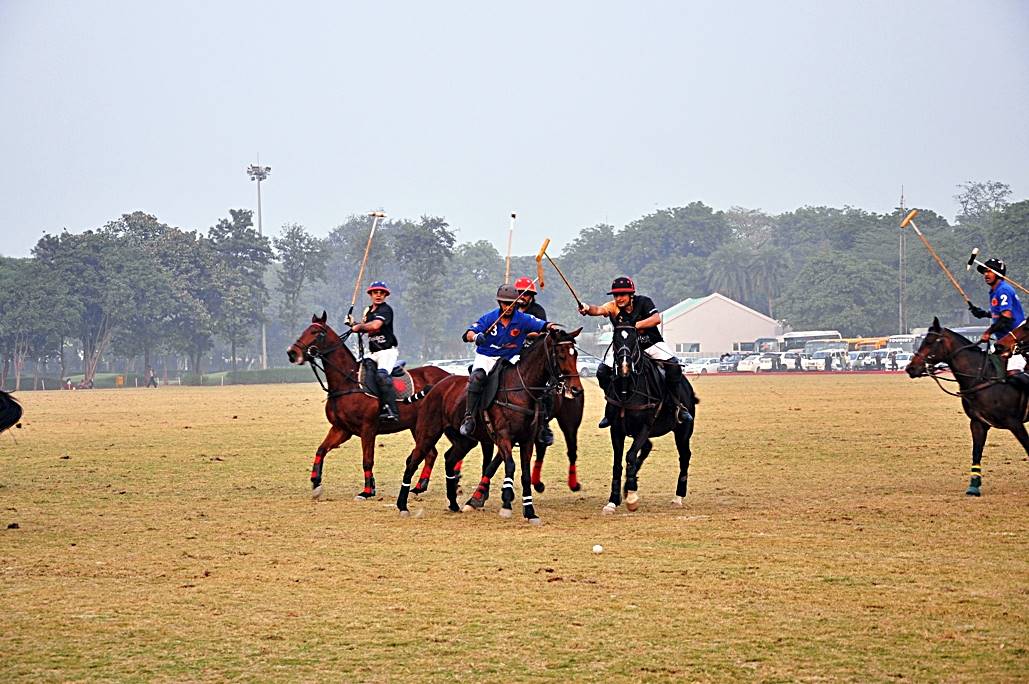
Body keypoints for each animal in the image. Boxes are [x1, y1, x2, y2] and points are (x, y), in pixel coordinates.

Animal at [290, 312, 450, 499]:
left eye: (317, 332)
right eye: (305, 330)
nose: (292, 352)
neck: (347, 382)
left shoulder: (368, 428)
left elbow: (367, 460)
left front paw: (367, 491)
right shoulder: (341, 429)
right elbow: (321, 450)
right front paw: (316, 483)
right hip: (417, 425)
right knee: (430, 453)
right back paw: (419, 487)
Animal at [393, 329, 584, 520]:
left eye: (575, 354)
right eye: (561, 355)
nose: (576, 389)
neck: (520, 390)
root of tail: (435, 386)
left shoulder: (526, 440)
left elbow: (524, 474)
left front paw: (529, 511)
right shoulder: (503, 437)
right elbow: (509, 465)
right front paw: (505, 503)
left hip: (465, 441)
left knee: (449, 459)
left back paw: (454, 504)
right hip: (428, 433)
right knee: (413, 461)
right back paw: (403, 505)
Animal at [600, 325, 699, 512]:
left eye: (633, 340)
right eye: (615, 340)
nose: (624, 367)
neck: (627, 390)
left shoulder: (645, 427)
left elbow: (630, 456)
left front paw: (632, 497)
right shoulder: (616, 429)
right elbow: (618, 463)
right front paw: (613, 500)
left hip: (683, 431)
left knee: (685, 456)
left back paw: (678, 497)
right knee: (647, 447)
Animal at [909, 316, 1029, 493]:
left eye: (929, 341)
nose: (910, 368)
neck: (981, 377)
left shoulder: (1015, 423)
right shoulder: (978, 423)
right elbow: (976, 452)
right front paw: (973, 486)